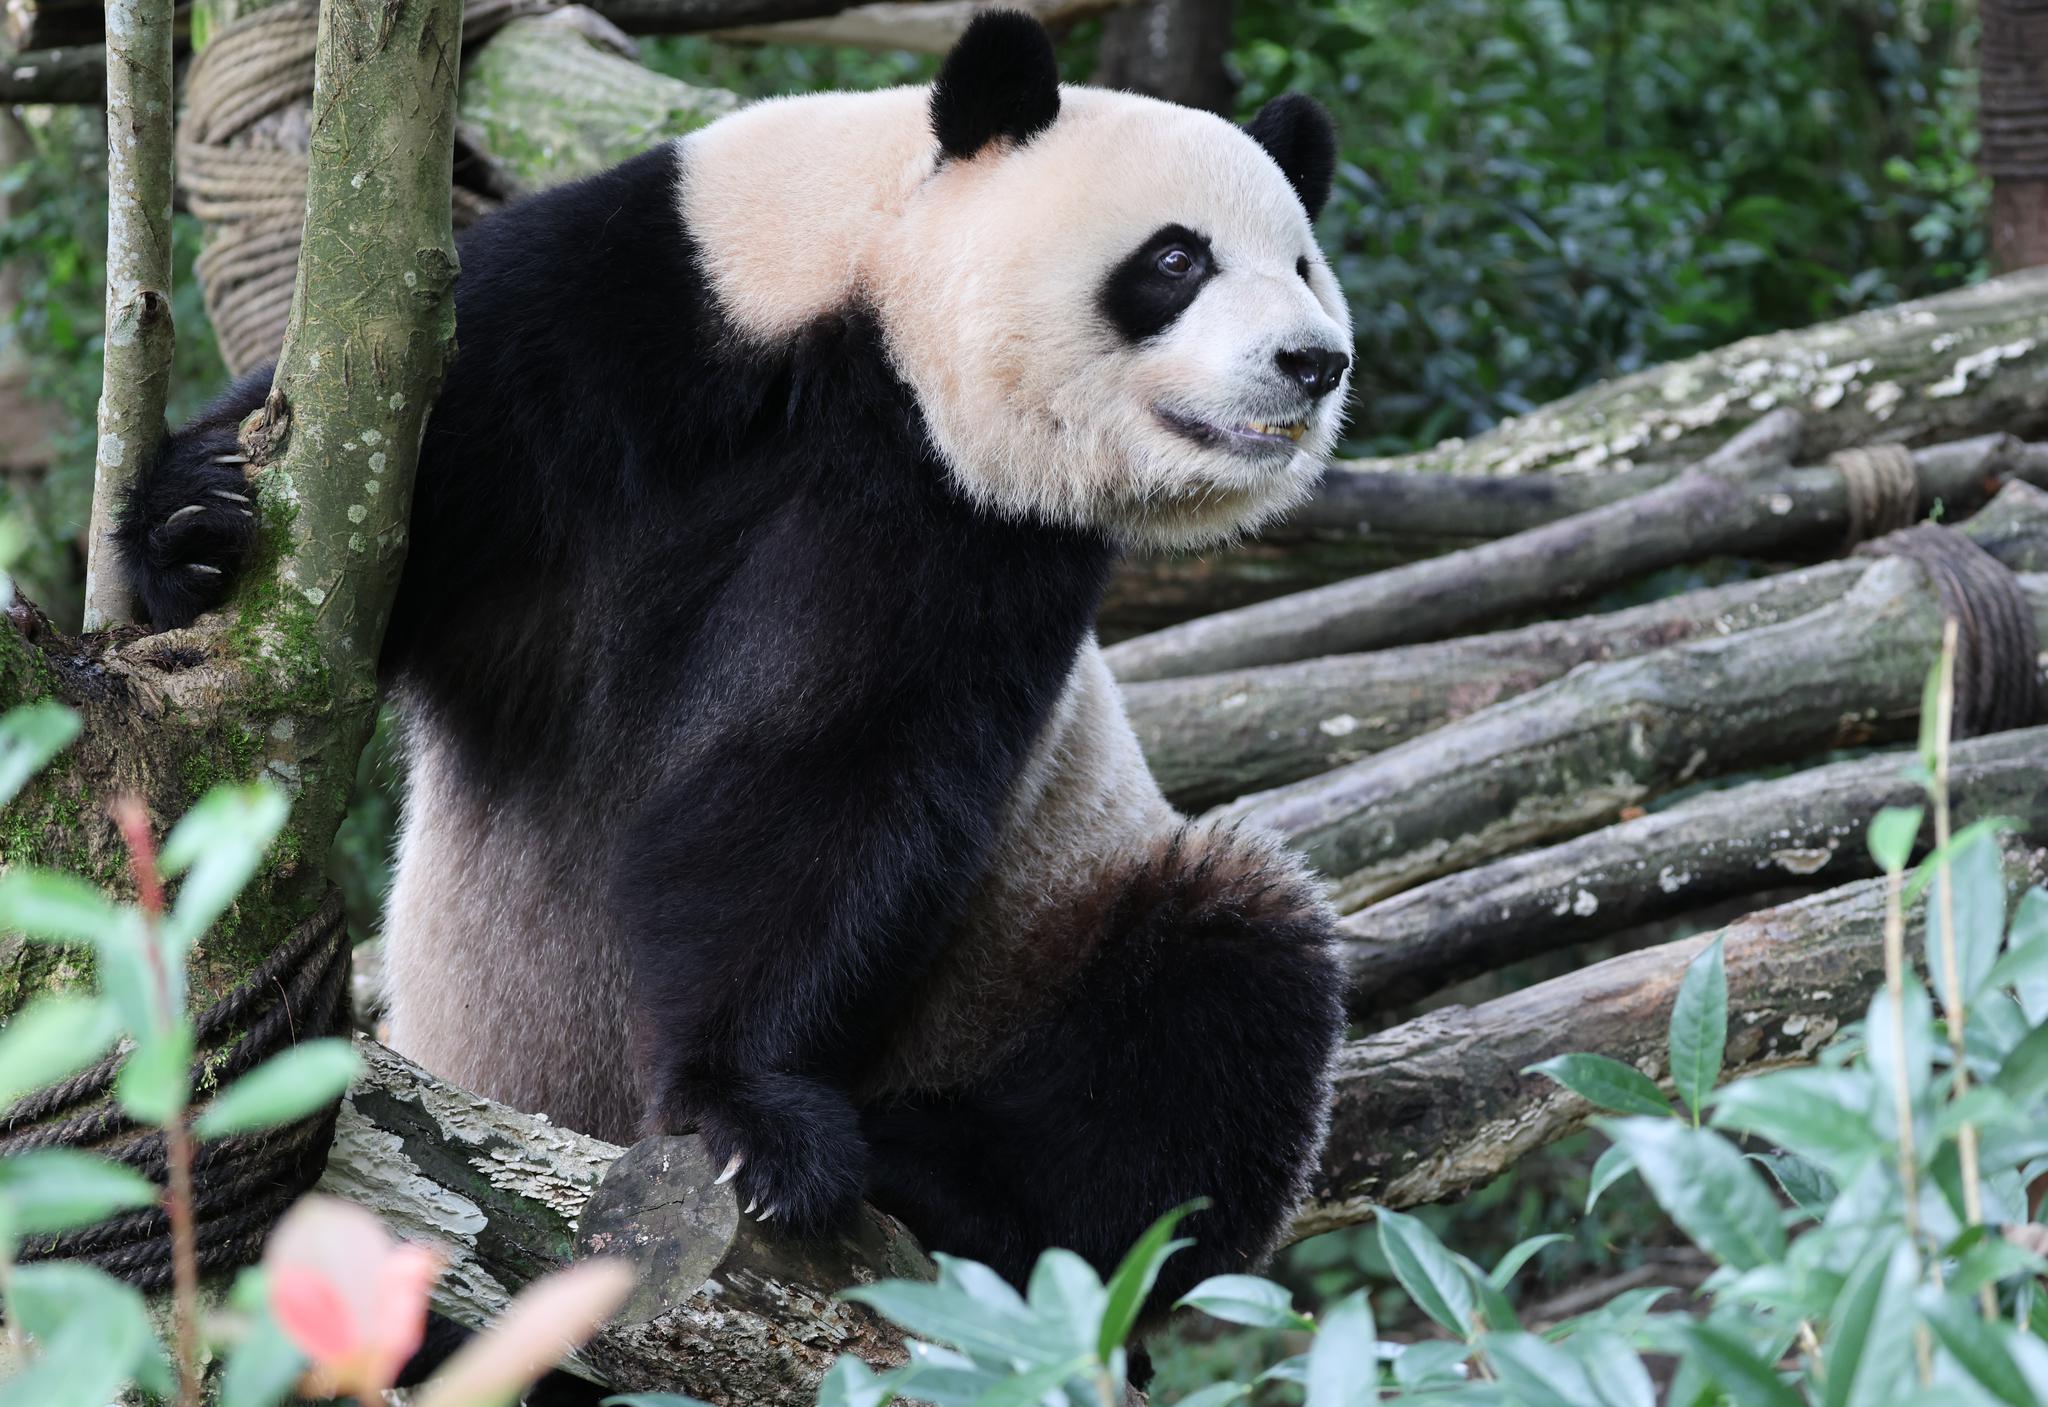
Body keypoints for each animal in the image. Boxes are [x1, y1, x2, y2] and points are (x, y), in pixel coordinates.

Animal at [118, 11, 1352, 1307]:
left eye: (1301, 264)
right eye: (1174, 261)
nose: (1311, 361)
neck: (870, 320)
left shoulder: (975, 527)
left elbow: (826, 769)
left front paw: (750, 1120)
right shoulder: (625, 306)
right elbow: (379, 497)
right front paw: (198, 523)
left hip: (1048, 930)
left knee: (1219, 1000)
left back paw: (950, 1184)